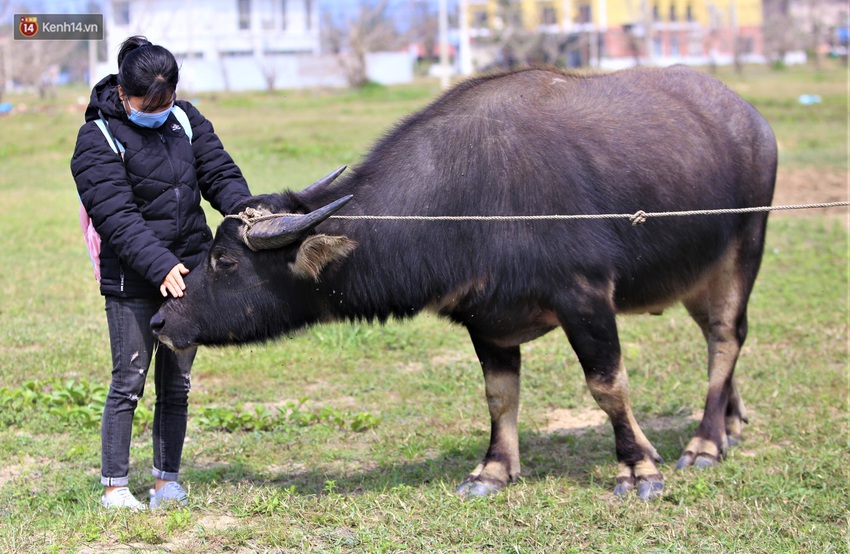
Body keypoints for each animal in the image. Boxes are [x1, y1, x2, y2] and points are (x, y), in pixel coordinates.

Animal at [151, 64, 776, 496]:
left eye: (225, 262)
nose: (161, 319)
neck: (472, 198)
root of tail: (751, 119)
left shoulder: (585, 298)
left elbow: (607, 385)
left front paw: (639, 468)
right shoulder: (487, 318)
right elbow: (500, 396)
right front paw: (493, 470)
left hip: (745, 250)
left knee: (727, 336)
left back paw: (705, 443)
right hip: (696, 275)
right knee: (715, 337)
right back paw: (729, 421)